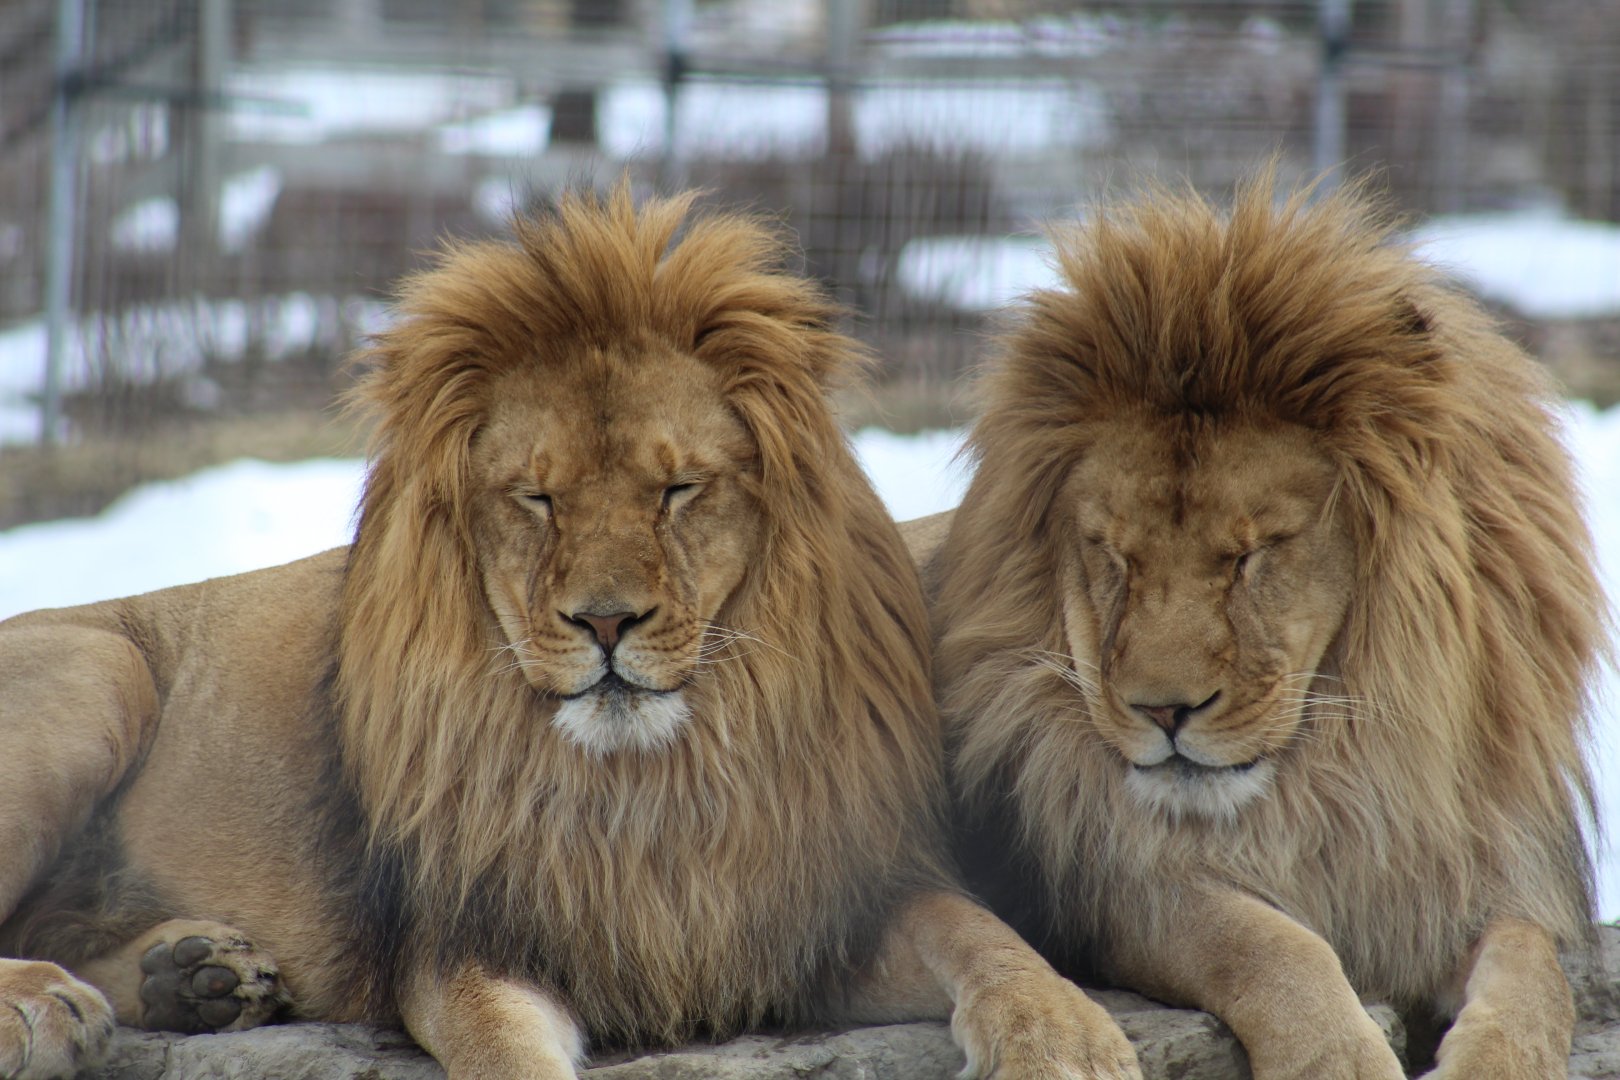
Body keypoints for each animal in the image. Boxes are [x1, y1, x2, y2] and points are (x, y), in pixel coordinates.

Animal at [0, 186, 1142, 1080]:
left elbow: (983, 933)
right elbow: (504, 1052)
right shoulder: (465, 946)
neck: (649, 789)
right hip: (101, 668)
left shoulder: (803, 917)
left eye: (678, 490)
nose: (604, 620)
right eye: (536, 498)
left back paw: (194, 975)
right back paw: (47, 1002)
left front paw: (1066, 1036)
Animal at [911, 174, 1605, 1080]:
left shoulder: (1462, 874)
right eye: (1114, 554)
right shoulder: (1113, 886)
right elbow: (1268, 945)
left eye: (1252, 554)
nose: (1162, 711)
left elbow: (1535, 973)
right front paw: (1341, 1060)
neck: (1339, 778)